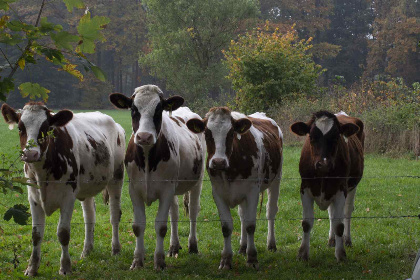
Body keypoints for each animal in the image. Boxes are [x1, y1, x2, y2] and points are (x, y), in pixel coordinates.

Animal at [0, 101, 125, 274]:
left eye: (47, 128)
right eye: (20, 128)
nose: (31, 154)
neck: (42, 174)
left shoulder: (68, 196)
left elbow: (63, 233)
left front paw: (65, 266)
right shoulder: (33, 197)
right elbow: (36, 234)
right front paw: (32, 268)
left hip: (116, 178)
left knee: (114, 215)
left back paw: (116, 249)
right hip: (87, 187)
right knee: (89, 216)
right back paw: (87, 251)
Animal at [109, 84, 206, 270]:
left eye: (159, 109)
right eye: (133, 109)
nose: (144, 137)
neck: (148, 158)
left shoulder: (166, 190)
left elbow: (161, 226)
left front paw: (159, 261)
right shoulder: (134, 189)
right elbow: (138, 226)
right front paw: (137, 261)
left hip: (197, 181)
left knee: (192, 211)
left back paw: (193, 246)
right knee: (175, 212)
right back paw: (174, 246)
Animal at [290, 110, 362, 262]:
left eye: (336, 137)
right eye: (311, 137)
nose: (323, 164)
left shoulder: (341, 189)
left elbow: (339, 224)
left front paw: (340, 254)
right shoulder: (305, 188)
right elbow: (307, 223)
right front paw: (302, 253)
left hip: (352, 187)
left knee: (347, 212)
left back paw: (347, 240)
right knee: (331, 214)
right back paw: (331, 240)